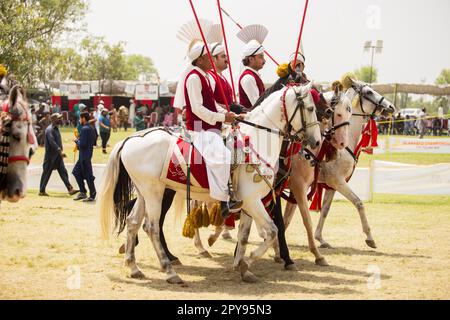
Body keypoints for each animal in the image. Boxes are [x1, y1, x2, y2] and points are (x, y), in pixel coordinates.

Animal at [100, 81, 322, 284]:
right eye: (312, 108)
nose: (317, 142)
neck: (256, 140)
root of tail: (130, 140)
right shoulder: (253, 201)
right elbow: (272, 231)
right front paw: (248, 262)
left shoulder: (251, 203)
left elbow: (245, 235)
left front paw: (242, 266)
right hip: (155, 193)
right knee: (151, 227)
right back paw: (170, 271)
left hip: (145, 193)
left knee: (133, 222)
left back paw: (134, 267)